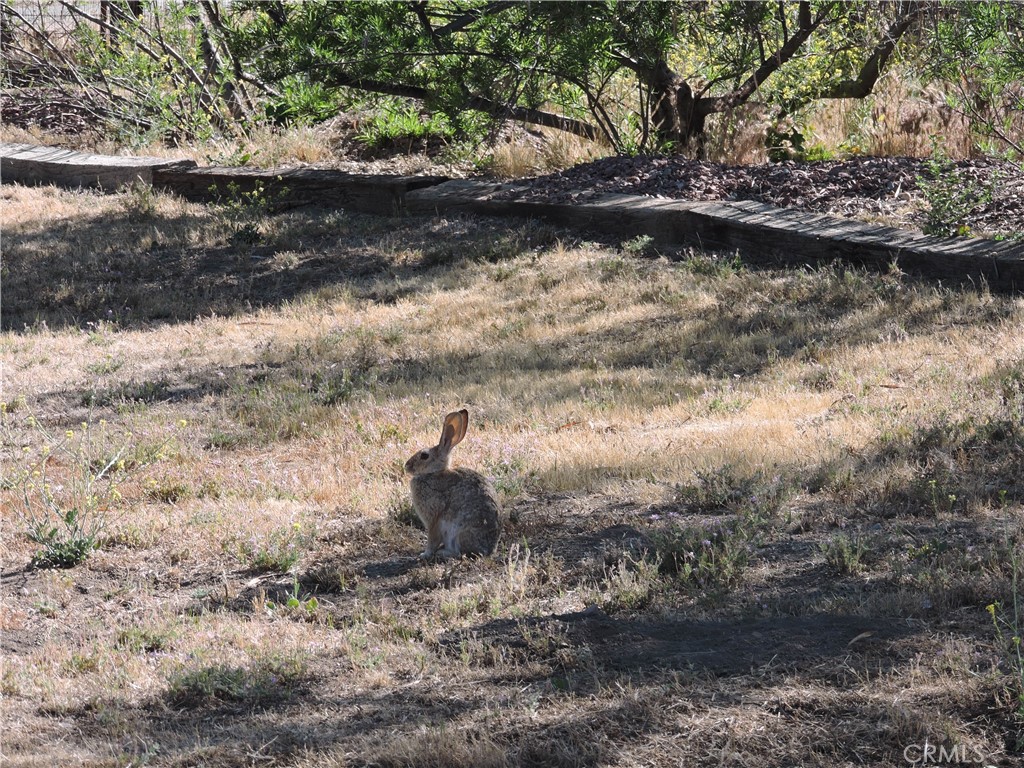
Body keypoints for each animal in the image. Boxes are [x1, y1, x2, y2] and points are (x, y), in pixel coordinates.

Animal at [404, 409, 501, 559]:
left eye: (424, 455)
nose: (406, 466)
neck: (433, 473)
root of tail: (489, 549)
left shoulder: (433, 518)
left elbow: (432, 539)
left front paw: (425, 554)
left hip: (458, 532)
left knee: (460, 553)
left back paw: (442, 552)